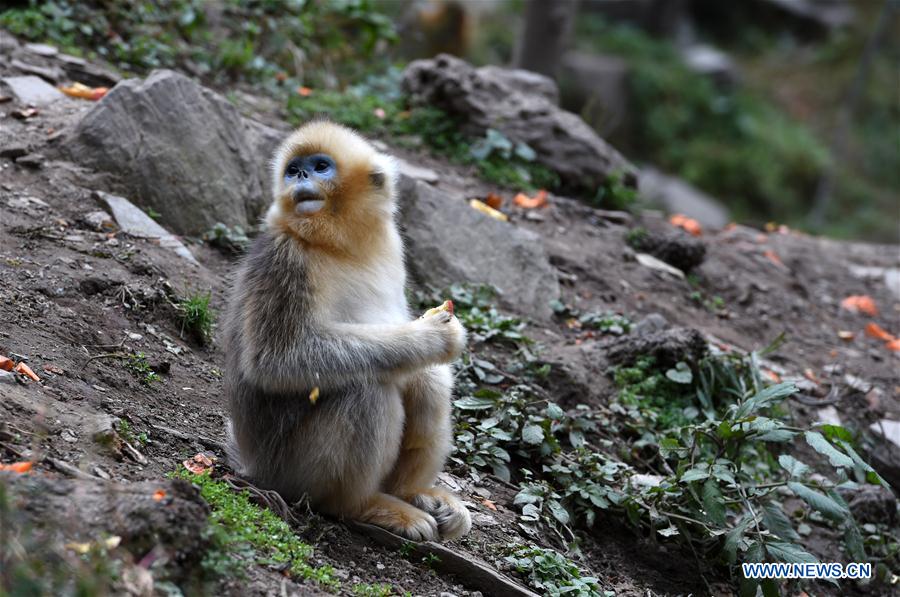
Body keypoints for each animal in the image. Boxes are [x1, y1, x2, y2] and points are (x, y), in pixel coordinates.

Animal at [224, 120, 472, 542]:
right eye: (293, 170)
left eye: (320, 166)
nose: (301, 177)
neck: (339, 247)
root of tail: (254, 466)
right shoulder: (284, 258)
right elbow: (277, 361)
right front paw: (428, 339)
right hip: (291, 471)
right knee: (366, 389)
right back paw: (367, 506)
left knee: (427, 388)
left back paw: (412, 492)